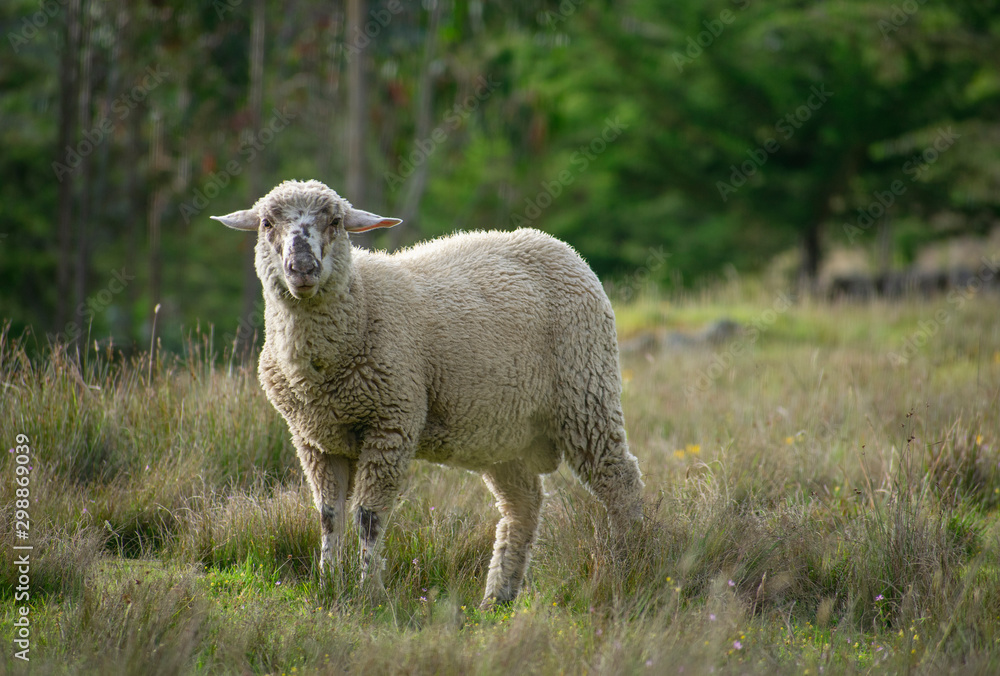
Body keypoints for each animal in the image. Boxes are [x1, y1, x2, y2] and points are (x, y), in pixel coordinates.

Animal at [212, 179, 643, 607]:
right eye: (267, 223)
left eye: (336, 222)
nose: (302, 269)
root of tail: (557, 245)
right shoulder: (315, 439)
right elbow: (329, 515)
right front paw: (328, 585)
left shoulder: (391, 423)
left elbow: (368, 516)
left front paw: (369, 592)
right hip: (504, 433)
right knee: (524, 505)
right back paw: (497, 597)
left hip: (586, 391)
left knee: (621, 481)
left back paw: (632, 564)